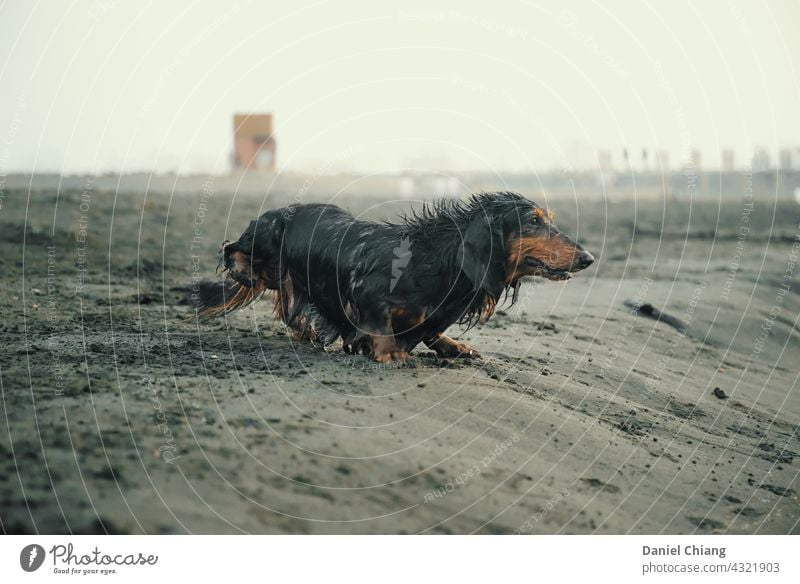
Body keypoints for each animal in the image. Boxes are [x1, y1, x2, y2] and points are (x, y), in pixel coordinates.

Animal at [195, 192, 592, 362]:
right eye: (534, 221)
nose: (588, 258)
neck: (439, 260)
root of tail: (281, 210)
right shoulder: (367, 295)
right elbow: (379, 326)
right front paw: (388, 352)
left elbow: (429, 329)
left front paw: (454, 345)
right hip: (265, 240)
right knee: (236, 251)